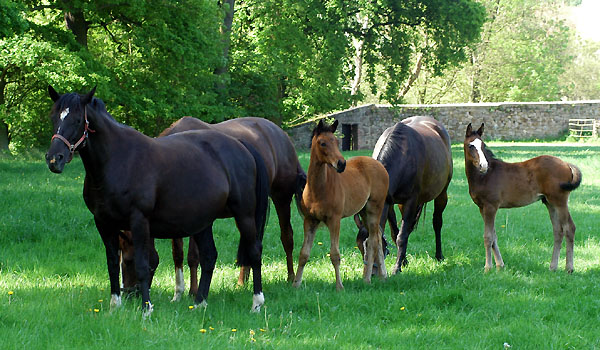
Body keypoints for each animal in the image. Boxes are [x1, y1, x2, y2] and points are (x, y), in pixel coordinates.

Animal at [45, 87, 270, 314]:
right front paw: (114, 307)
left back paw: (257, 303)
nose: (55, 158)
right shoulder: (103, 223)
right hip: (204, 222)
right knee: (209, 256)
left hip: (244, 215)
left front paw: (146, 309)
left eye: (77, 120)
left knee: (254, 251)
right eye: (54, 117)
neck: (119, 160)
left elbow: (144, 265)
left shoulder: (139, 221)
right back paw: (199, 303)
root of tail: (241, 145)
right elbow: (111, 264)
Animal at [119, 115, 304, 300]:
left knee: (287, 237)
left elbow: (193, 256)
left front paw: (193, 291)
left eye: (129, 260)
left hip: (281, 198)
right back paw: (242, 282)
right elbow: (177, 254)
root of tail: (282, 135)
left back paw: (291, 278)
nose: (129, 294)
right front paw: (178, 293)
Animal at [292, 120, 390, 290]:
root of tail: (380, 166)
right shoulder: (310, 220)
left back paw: (367, 279)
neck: (319, 189)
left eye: (337, 142)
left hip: (374, 208)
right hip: (364, 211)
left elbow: (335, 254)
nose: (341, 163)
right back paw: (382, 276)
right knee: (377, 235)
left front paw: (339, 286)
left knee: (372, 241)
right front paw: (296, 284)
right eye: (322, 143)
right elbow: (303, 253)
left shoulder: (334, 220)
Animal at [354, 116, 452, 274]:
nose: (372, 273)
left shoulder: (411, 201)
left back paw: (439, 255)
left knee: (437, 223)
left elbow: (402, 235)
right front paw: (403, 261)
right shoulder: (388, 202)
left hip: (441, 194)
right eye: (359, 247)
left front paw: (396, 267)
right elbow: (396, 233)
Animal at [464, 123, 580, 274]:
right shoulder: (482, 208)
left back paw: (569, 268)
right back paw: (553, 267)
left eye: (483, 145)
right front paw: (500, 265)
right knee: (558, 231)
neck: (484, 177)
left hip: (560, 201)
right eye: (470, 145)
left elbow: (488, 237)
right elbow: (494, 235)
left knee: (569, 228)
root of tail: (566, 164)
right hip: (549, 202)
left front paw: (488, 268)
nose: (483, 166)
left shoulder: (491, 207)